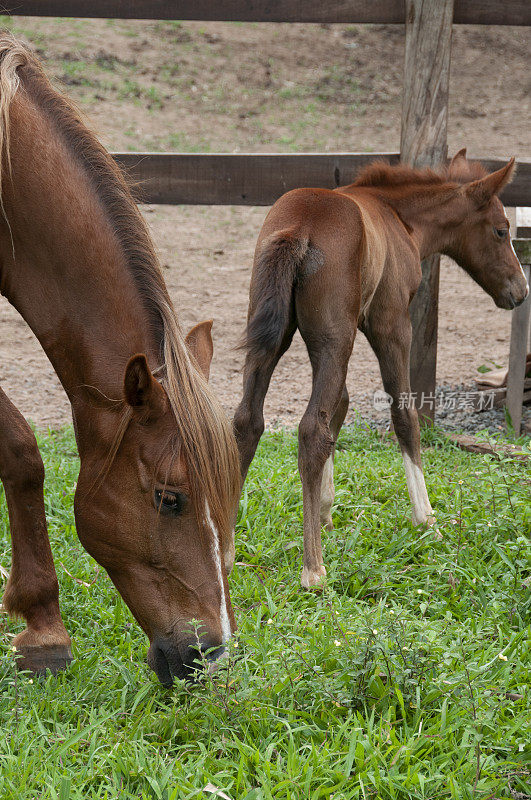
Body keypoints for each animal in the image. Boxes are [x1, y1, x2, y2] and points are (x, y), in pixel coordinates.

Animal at [235, 150, 528, 588]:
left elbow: (341, 405)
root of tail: (300, 226)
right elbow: (404, 415)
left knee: (248, 421)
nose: (520, 291)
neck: (397, 216)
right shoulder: (391, 324)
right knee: (311, 430)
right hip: (335, 339)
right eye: (500, 230)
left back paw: (223, 544)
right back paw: (313, 569)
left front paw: (326, 511)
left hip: (277, 338)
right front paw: (427, 520)